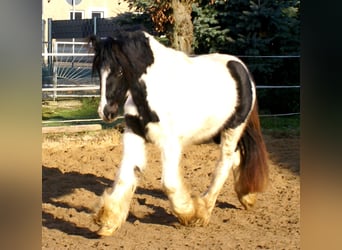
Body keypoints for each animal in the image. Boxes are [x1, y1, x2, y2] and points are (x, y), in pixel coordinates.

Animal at [89, 29, 270, 236]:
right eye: (98, 71)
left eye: (119, 71)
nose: (106, 112)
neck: (153, 91)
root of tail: (242, 69)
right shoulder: (134, 133)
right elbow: (125, 176)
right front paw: (107, 221)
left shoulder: (170, 143)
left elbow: (169, 184)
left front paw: (189, 214)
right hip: (217, 132)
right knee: (237, 158)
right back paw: (246, 196)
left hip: (233, 129)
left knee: (224, 163)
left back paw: (204, 210)